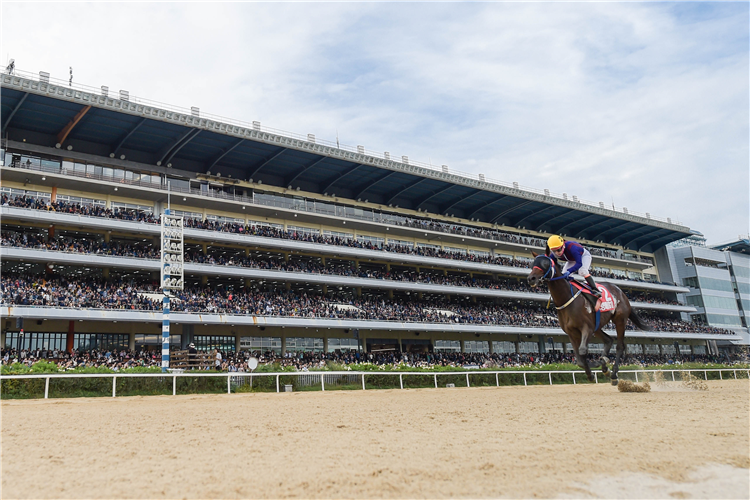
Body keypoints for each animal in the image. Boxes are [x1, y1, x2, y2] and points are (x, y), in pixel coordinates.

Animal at [524, 252, 648, 384]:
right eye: (532, 263)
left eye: (545, 263)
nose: (531, 278)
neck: (566, 298)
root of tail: (621, 292)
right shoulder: (571, 332)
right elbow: (579, 360)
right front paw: (595, 368)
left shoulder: (586, 328)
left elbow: (583, 351)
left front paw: (595, 367)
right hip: (597, 327)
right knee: (608, 340)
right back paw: (605, 367)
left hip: (620, 320)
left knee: (620, 346)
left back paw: (614, 374)